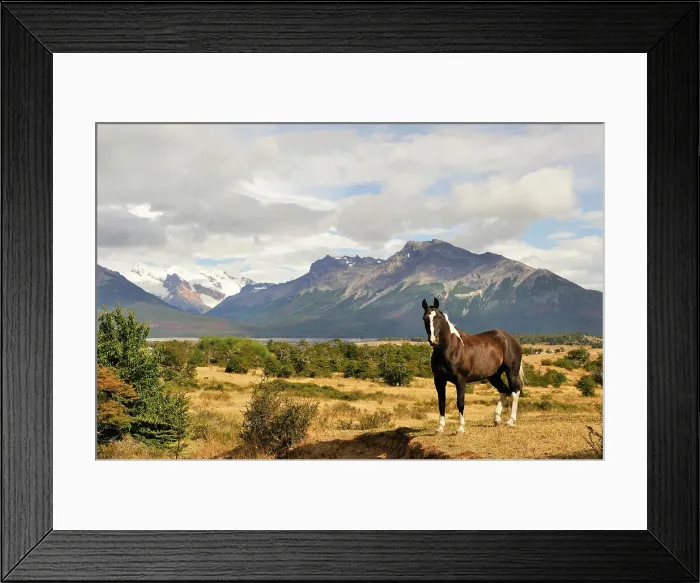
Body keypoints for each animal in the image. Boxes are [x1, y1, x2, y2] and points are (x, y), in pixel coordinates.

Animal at [421, 297, 524, 434]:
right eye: (424, 318)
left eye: (438, 317)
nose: (433, 340)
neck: (451, 349)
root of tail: (512, 338)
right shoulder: (439, 380)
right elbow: (441, 403)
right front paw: (440, 428)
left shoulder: (460, 380)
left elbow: (460, 403)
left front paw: (460, 428)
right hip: (493, 376)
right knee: (504, 390)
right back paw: (497, 419)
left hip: (511, 372)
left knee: (514, 391)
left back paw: (510, 421)